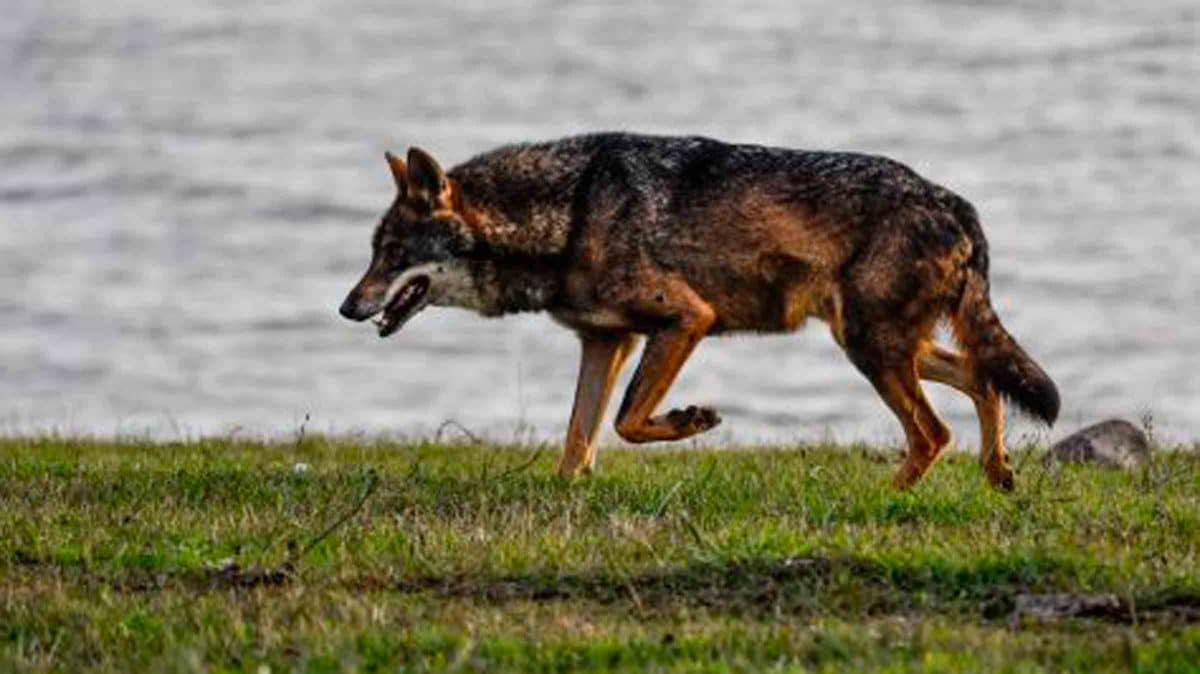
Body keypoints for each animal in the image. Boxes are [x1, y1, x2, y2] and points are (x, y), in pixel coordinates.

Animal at [338, 132, 1060, 486]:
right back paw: (998, 474)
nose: (347, 307)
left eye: (393, 253)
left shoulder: (687, 319)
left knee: (932, 433)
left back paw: (882, 503)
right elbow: (579, 439)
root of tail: (952, 201)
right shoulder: (606, 342)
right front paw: (569, 494)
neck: (570, 212)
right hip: (880, 344)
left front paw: (692, 421)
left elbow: (628, 421)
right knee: (982, 381)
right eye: (373, 252)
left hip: (871, 348)